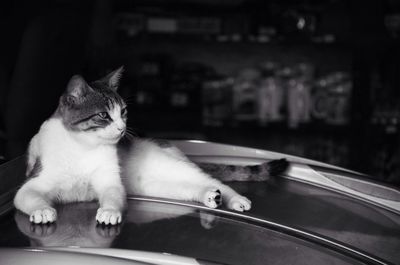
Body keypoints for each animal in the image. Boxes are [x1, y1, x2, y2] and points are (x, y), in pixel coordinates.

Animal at [12, 66, 288, 225]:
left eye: (123, 112)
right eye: (103, 115)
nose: (122, 129)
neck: (82, 148)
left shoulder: (110, 181)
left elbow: (112, 196)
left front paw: (109, 212)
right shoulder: (34, 182)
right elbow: (28, 196)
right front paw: (43, 211)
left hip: (173, 167)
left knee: (213, 180)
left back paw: (234, 199)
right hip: (159, 185)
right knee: (193, 188)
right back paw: (210, 196)